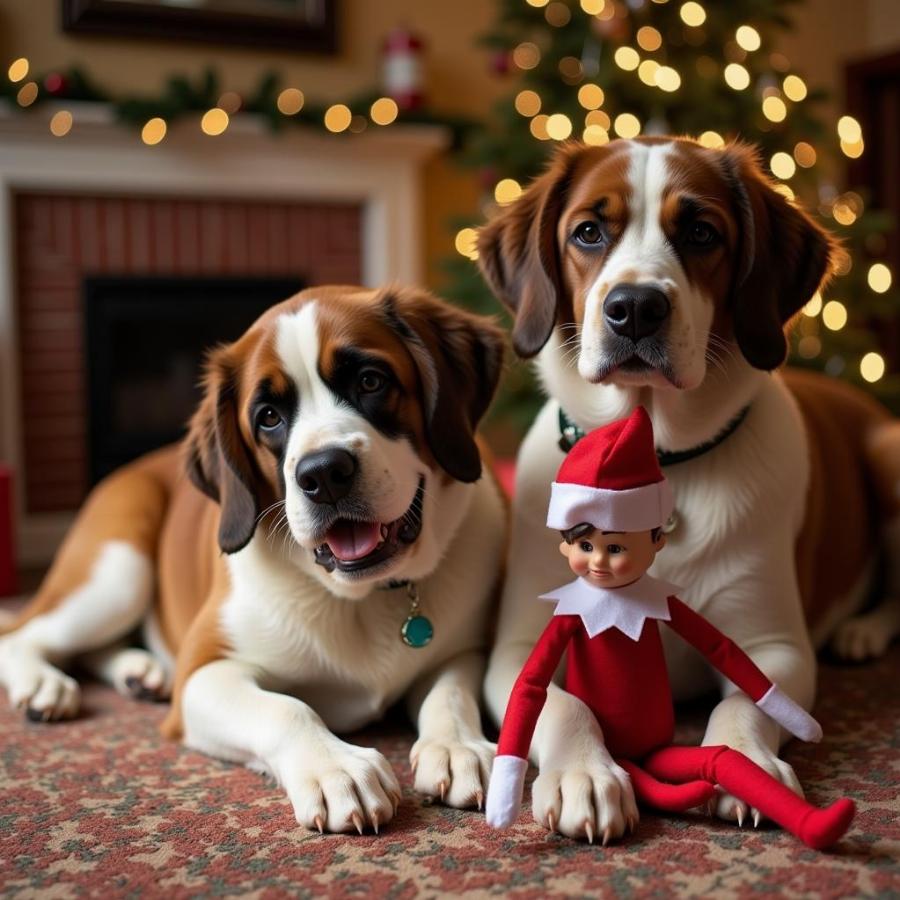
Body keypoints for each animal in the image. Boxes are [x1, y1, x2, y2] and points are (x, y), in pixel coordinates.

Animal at [0, 284, 506, 832]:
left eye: (371, 381)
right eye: (268, 417)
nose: (323, 473)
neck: (362, 597)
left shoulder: (464, 649)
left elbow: (449, 691)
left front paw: (457, 746)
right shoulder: (203, 676)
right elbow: (286, 708)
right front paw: (335, 766)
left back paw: (139, 671)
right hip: (118, 570)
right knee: (21, 633)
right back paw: (44, 685)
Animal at [478, 139, 900, 844]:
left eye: (702, 232)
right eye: (588, 232)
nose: (635, 308)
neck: (657, 458)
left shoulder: (774, 645)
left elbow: (749, 703)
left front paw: (746, 767)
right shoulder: (515, 648)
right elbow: (557, 702)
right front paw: (585, 773)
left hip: (888, 450)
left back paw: (864, 630)